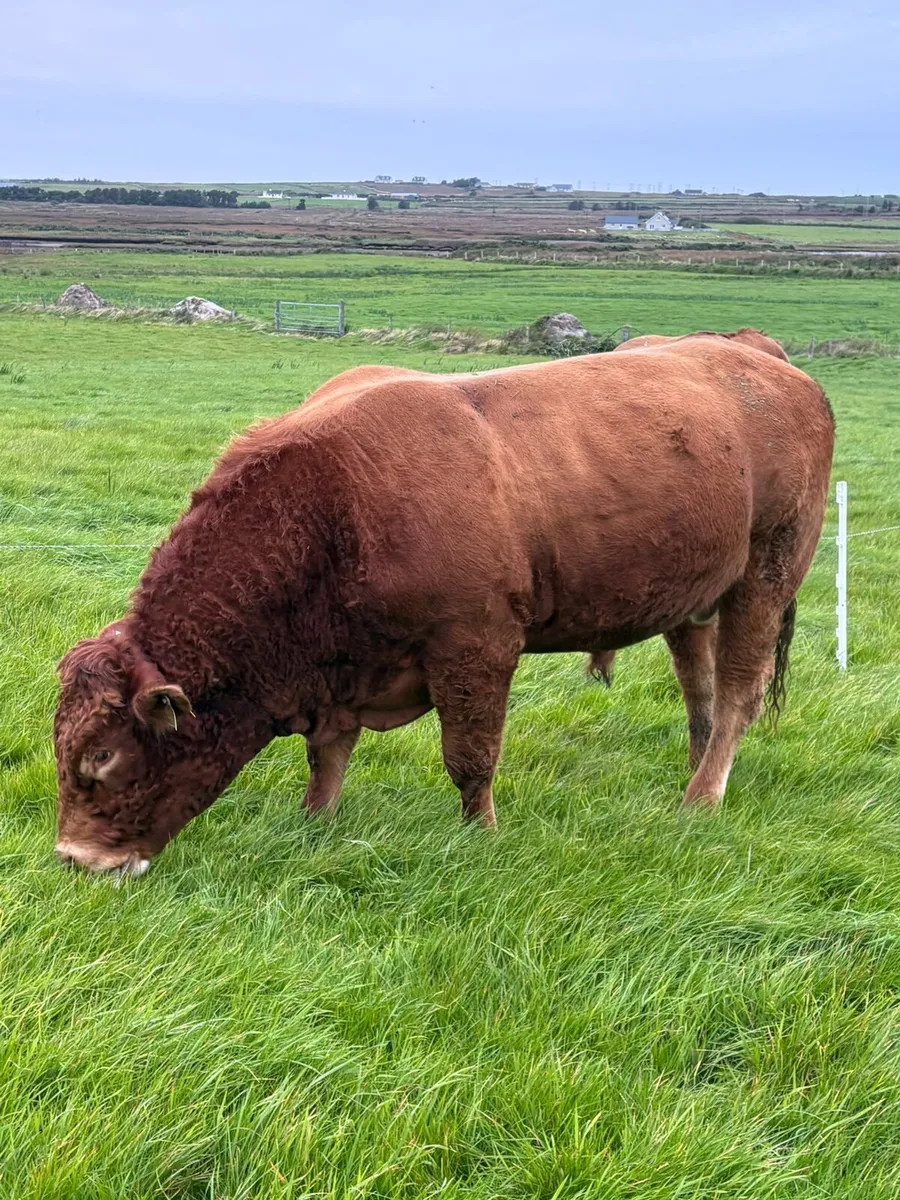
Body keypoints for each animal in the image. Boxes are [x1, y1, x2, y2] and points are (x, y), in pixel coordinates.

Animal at [54, 339, 834, 876]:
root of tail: (766, 362)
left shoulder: (476, 645)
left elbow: (470, 756)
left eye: (102, 755)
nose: (74, 858)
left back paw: (702, 798)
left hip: (765, 578)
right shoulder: (342, 670)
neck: (335, 506)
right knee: (699, 689)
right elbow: (326, 756)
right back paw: (694, 772)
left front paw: (481, 836)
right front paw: (315, 824)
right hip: (696, 596)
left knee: (738, 694)